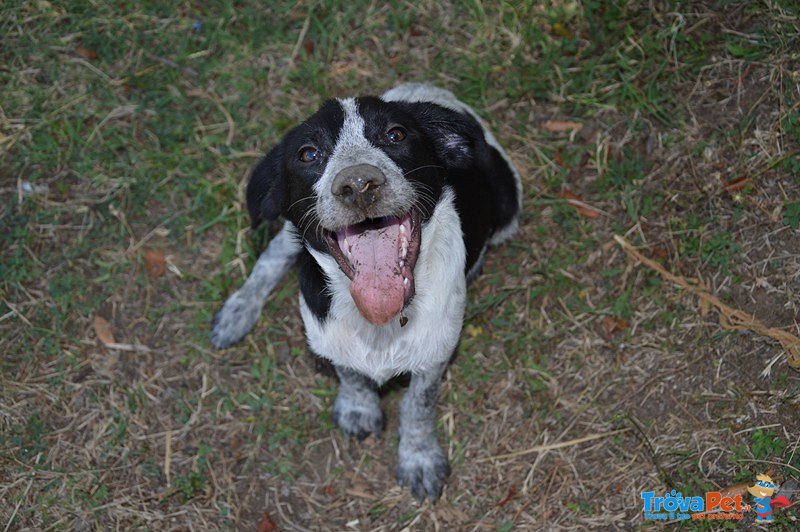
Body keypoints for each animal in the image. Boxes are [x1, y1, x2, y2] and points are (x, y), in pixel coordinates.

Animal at [209, 82, 520, 498]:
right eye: (308, 154)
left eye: (396, 135)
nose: (358, 184)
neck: (379, 325)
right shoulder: (328, 336)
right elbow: (350, 372)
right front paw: (360, 408)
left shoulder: (435, 354)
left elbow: (418, 405)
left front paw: (418, 458)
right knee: (273, 253)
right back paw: (237, 311)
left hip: (509, 204)